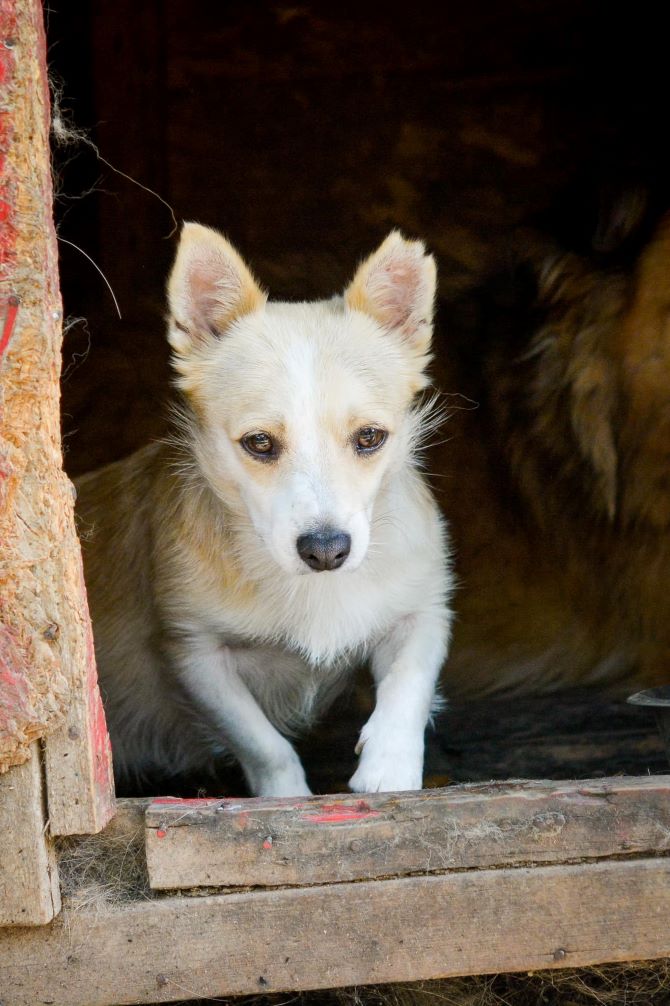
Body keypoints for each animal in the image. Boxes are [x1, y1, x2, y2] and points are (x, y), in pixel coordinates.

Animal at [72, 224, 450, 796]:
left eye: (370, 437)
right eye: (259, 443)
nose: (326, 550)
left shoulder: (426, 610)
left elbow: (408, 687)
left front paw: (390, 770)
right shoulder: (197, 656)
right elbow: (263, 744)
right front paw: (286, 798)